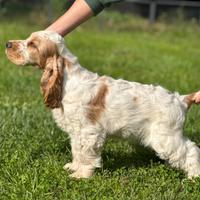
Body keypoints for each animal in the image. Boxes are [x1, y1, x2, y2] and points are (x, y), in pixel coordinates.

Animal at [4, 30, 200, 178]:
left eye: (32, 44)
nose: (7, 44)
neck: (67, 78)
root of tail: (181, 99)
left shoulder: (89, 131)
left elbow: (86, 154)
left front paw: (81, 175)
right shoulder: (76, 131)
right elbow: (77, 151)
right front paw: (74, 167)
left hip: (165, 137)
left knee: (191, 150)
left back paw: (194, 177)